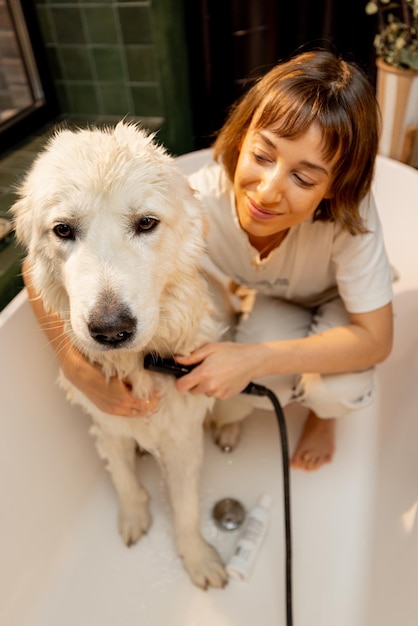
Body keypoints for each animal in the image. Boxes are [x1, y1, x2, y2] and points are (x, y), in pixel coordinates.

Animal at [11, 120, 229, 584]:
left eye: (146, 223)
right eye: (63, 229)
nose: (110, 330)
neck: (136, 367)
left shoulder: (182, 439)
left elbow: (186, 508)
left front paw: (197, 558)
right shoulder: (106, 425)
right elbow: (124, 480)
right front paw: (133, 517)